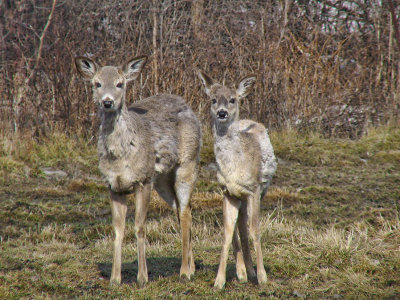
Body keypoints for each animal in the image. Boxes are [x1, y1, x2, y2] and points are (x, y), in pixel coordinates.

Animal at [74, 55, 200, 288]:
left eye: (120, 83)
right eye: (97, 83)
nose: (107, 102)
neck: (121, 154)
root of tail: (187, 105)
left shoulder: (143, 180)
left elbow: (140, 227)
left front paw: (142, 278)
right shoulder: (114, 186)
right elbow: (118, 230)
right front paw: (115, 279)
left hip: (187, 163)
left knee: (186, 211)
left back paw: (185, 272)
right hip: (162, 179)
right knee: (182, 209)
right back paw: (192, 267)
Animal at [198, 70, 278, 288]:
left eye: (232, 99)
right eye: (213, 99)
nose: (222, 113)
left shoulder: (254, 189)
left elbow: (255, 230)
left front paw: (263, 277)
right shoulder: (227, 191)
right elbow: (227, 233)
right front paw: (219, 281)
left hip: (258, 192)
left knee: (244, 225)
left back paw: (250, 270)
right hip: (236, 196)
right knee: (239, 225)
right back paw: (243, 272)